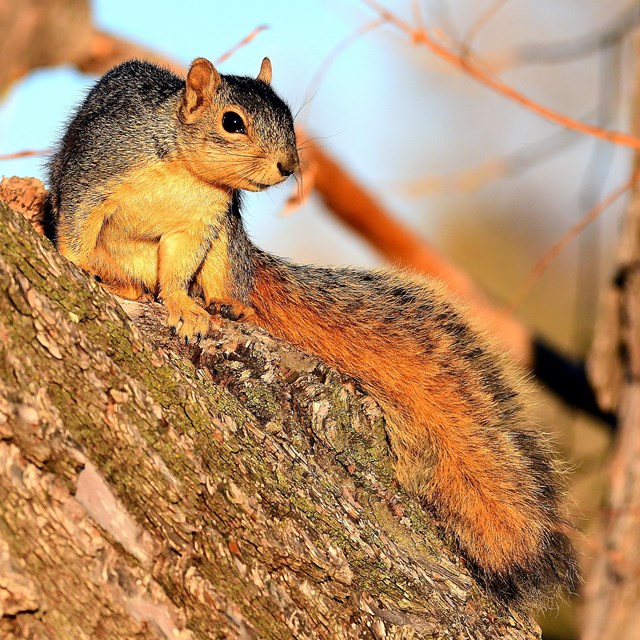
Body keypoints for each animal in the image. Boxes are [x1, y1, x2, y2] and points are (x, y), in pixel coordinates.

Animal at [46, 53, 576, 604]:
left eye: (289, 117)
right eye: (231, 121)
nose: (289, 165)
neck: (186, 172)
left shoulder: (200, 225)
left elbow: (176, 274)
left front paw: (183, 307)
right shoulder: (99, 173)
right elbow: (77, 224)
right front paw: (72, 260)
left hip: (227, 244)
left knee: (227, 284)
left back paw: (226, 305)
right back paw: (117, 280)